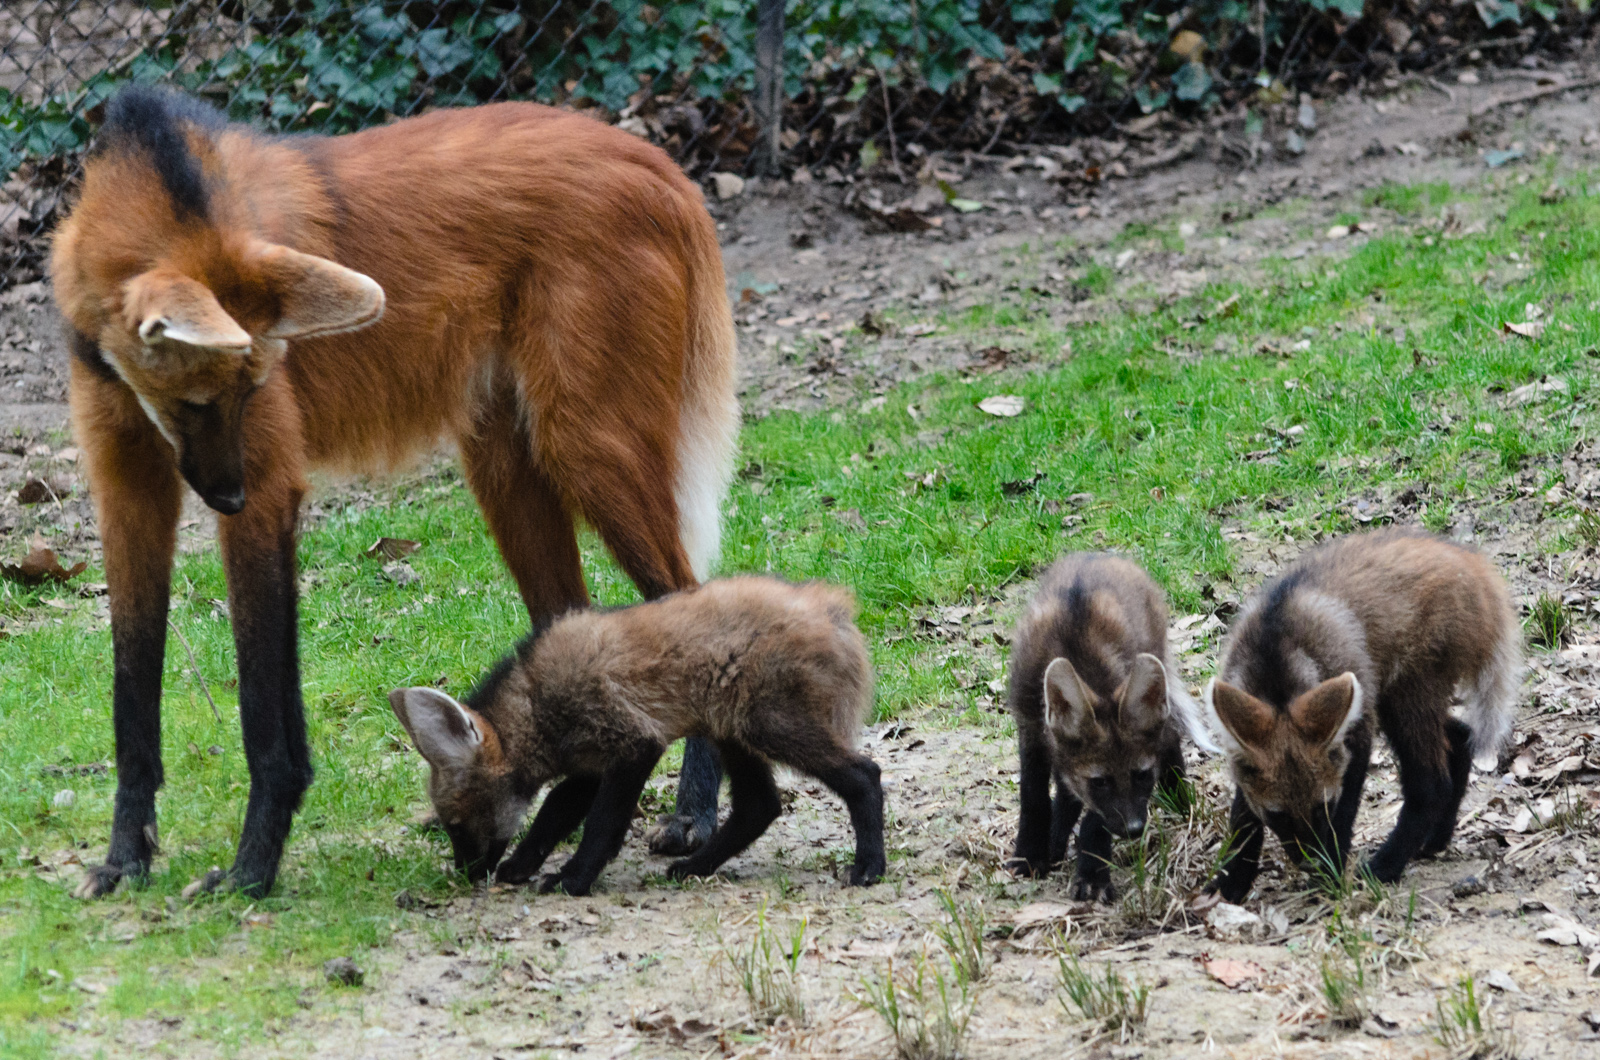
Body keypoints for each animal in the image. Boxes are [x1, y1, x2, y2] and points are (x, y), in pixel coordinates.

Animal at [50, 87, 736, 903]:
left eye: (249, 389)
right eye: (197, 402)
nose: (225, 497)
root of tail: (659, 163)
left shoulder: (269, 487)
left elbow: (262, 706)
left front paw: (251, 871)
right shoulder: (129, 483)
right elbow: (131, 690)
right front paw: (124, 860)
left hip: (587, 445)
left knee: (688, 599)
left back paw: (692, 815)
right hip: (503, 463)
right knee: (569, 618)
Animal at [387, 582, 889, 896]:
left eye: (455, 825)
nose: (466, 875)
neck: (538, 703)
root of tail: (832, 608)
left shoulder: (634, 745)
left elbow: (600, 824)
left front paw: (573, 880)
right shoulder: (591, 763)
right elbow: (552, 814)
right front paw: (523, 865)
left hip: (769, 727)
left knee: (865, 774)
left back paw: (870, 866)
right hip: (729, 731)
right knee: (759, 805)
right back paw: (696, 867)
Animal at [1004, 557, 1216, 903]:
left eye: (1142, 775)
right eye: (1100, 782)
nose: (1134, 829)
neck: (1078, 656)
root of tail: (1100, 554)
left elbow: (1094, 819)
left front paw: (1092, 875)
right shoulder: (1030, 727)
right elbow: (1033, 795)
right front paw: (1030, 855)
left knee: (1170, 734)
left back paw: (1181, 802)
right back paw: (1055, 841)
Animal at [1203, 528, 1516, 903]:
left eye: (1322, 806)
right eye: (1278, 815)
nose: (1309, 860)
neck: (1275, 667)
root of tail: (1472, 563)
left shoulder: (1356, 731)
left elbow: (1345, 809)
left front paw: (1331, 871)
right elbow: (1243, 816)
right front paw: (1231, 883)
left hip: (1403, 693)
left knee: (1431, 784)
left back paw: (1386, 864)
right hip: (1396, 698)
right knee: (1459, 734)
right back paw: (1435, 840)